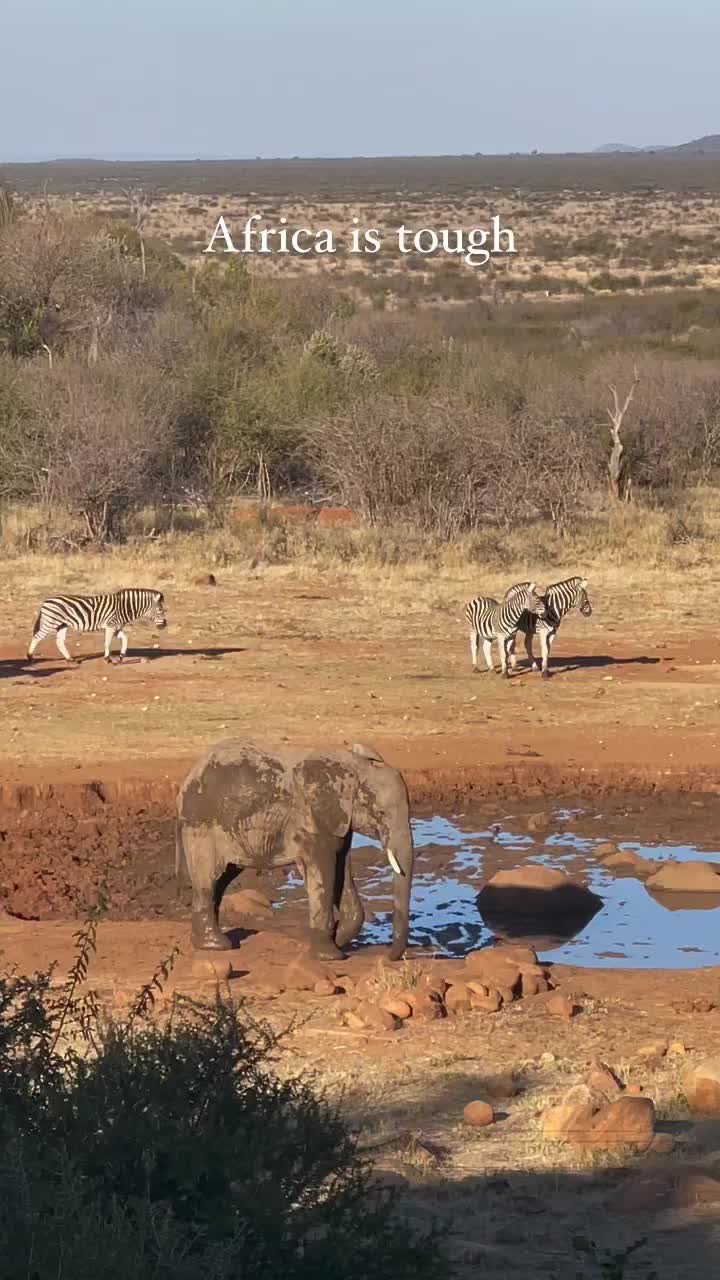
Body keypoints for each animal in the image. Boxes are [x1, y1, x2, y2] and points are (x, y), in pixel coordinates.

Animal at [26, 588, 166, 665]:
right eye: (160, 610)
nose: (164, 625)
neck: (123, 608)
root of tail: (46, 601)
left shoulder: (116, 627)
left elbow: (125, 638)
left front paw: (121, 656)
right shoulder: (110, 625)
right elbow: (107, 643)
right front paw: (107, 659)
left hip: (62, 624)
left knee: (59, 641)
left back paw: (70, 659)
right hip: (51, 621)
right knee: (37, 636)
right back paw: (30, 657)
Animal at [172, 742, 415, 962]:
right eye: (380, 812)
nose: (387, 957)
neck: (352, 767)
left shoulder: (339, 822)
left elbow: (341, 871)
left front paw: (338, 939)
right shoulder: (310, 819)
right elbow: (324, 873)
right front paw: (330, 956)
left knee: (221, 880)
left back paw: (209, 942)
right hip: (201, 824)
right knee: (208, 879)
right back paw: (217, 945)